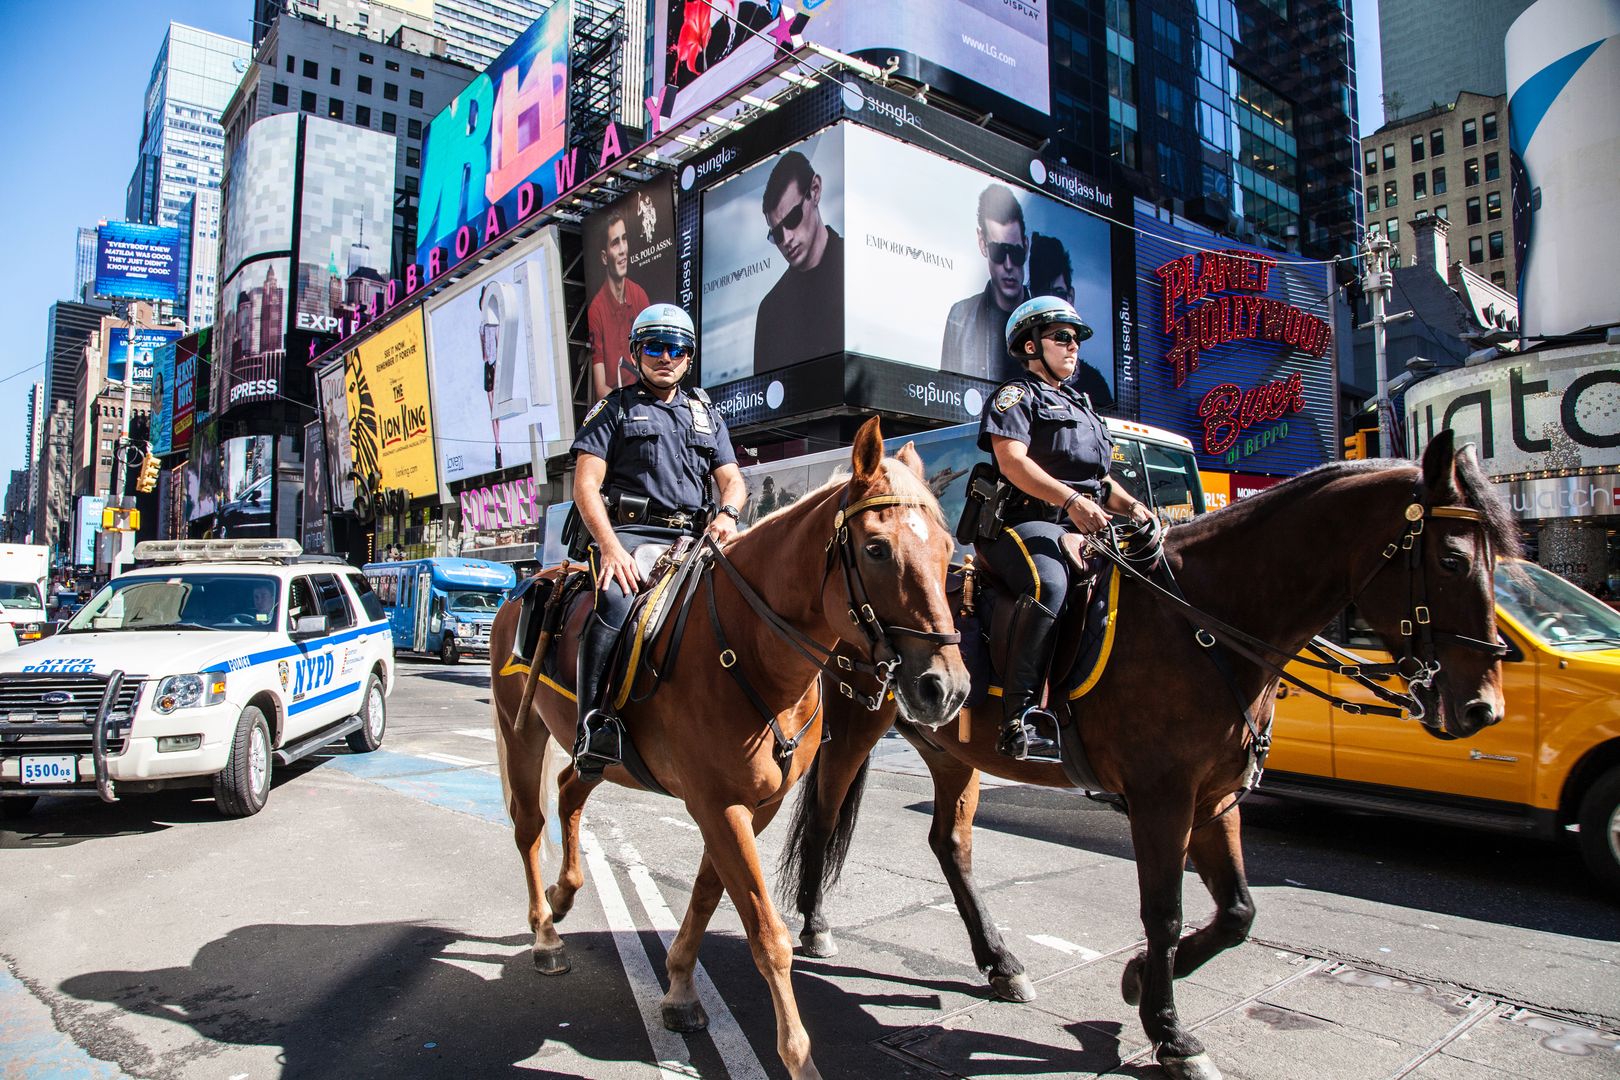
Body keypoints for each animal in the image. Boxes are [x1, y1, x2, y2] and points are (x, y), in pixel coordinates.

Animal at [486, 417, 965, 1080]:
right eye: (876, 548)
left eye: (947, 548)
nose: (946, 688)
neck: (754, 650)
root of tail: (530, 586)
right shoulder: (718, 805)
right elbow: (767, 935)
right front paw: (797, 1057)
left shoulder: (751, 806)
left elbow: (710, 893)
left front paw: (680, 989)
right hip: (522, 731)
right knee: (529, 823)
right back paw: (544, 934)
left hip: (595, 753)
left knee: (568, 793)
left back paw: (563, 896)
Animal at [771, 433, 1516, 1080]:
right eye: (1453, 560)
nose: (1482, 709)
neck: (1207, 622)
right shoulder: (1162, 800)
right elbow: (1165, 912)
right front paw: (1170, 1031)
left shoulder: (1215, 798)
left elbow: (1239, 912)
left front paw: (1138, 982)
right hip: (858, 722)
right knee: (826, 814)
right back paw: (816, 925)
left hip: (952, 748)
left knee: (949, 844)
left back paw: (1000, 960)